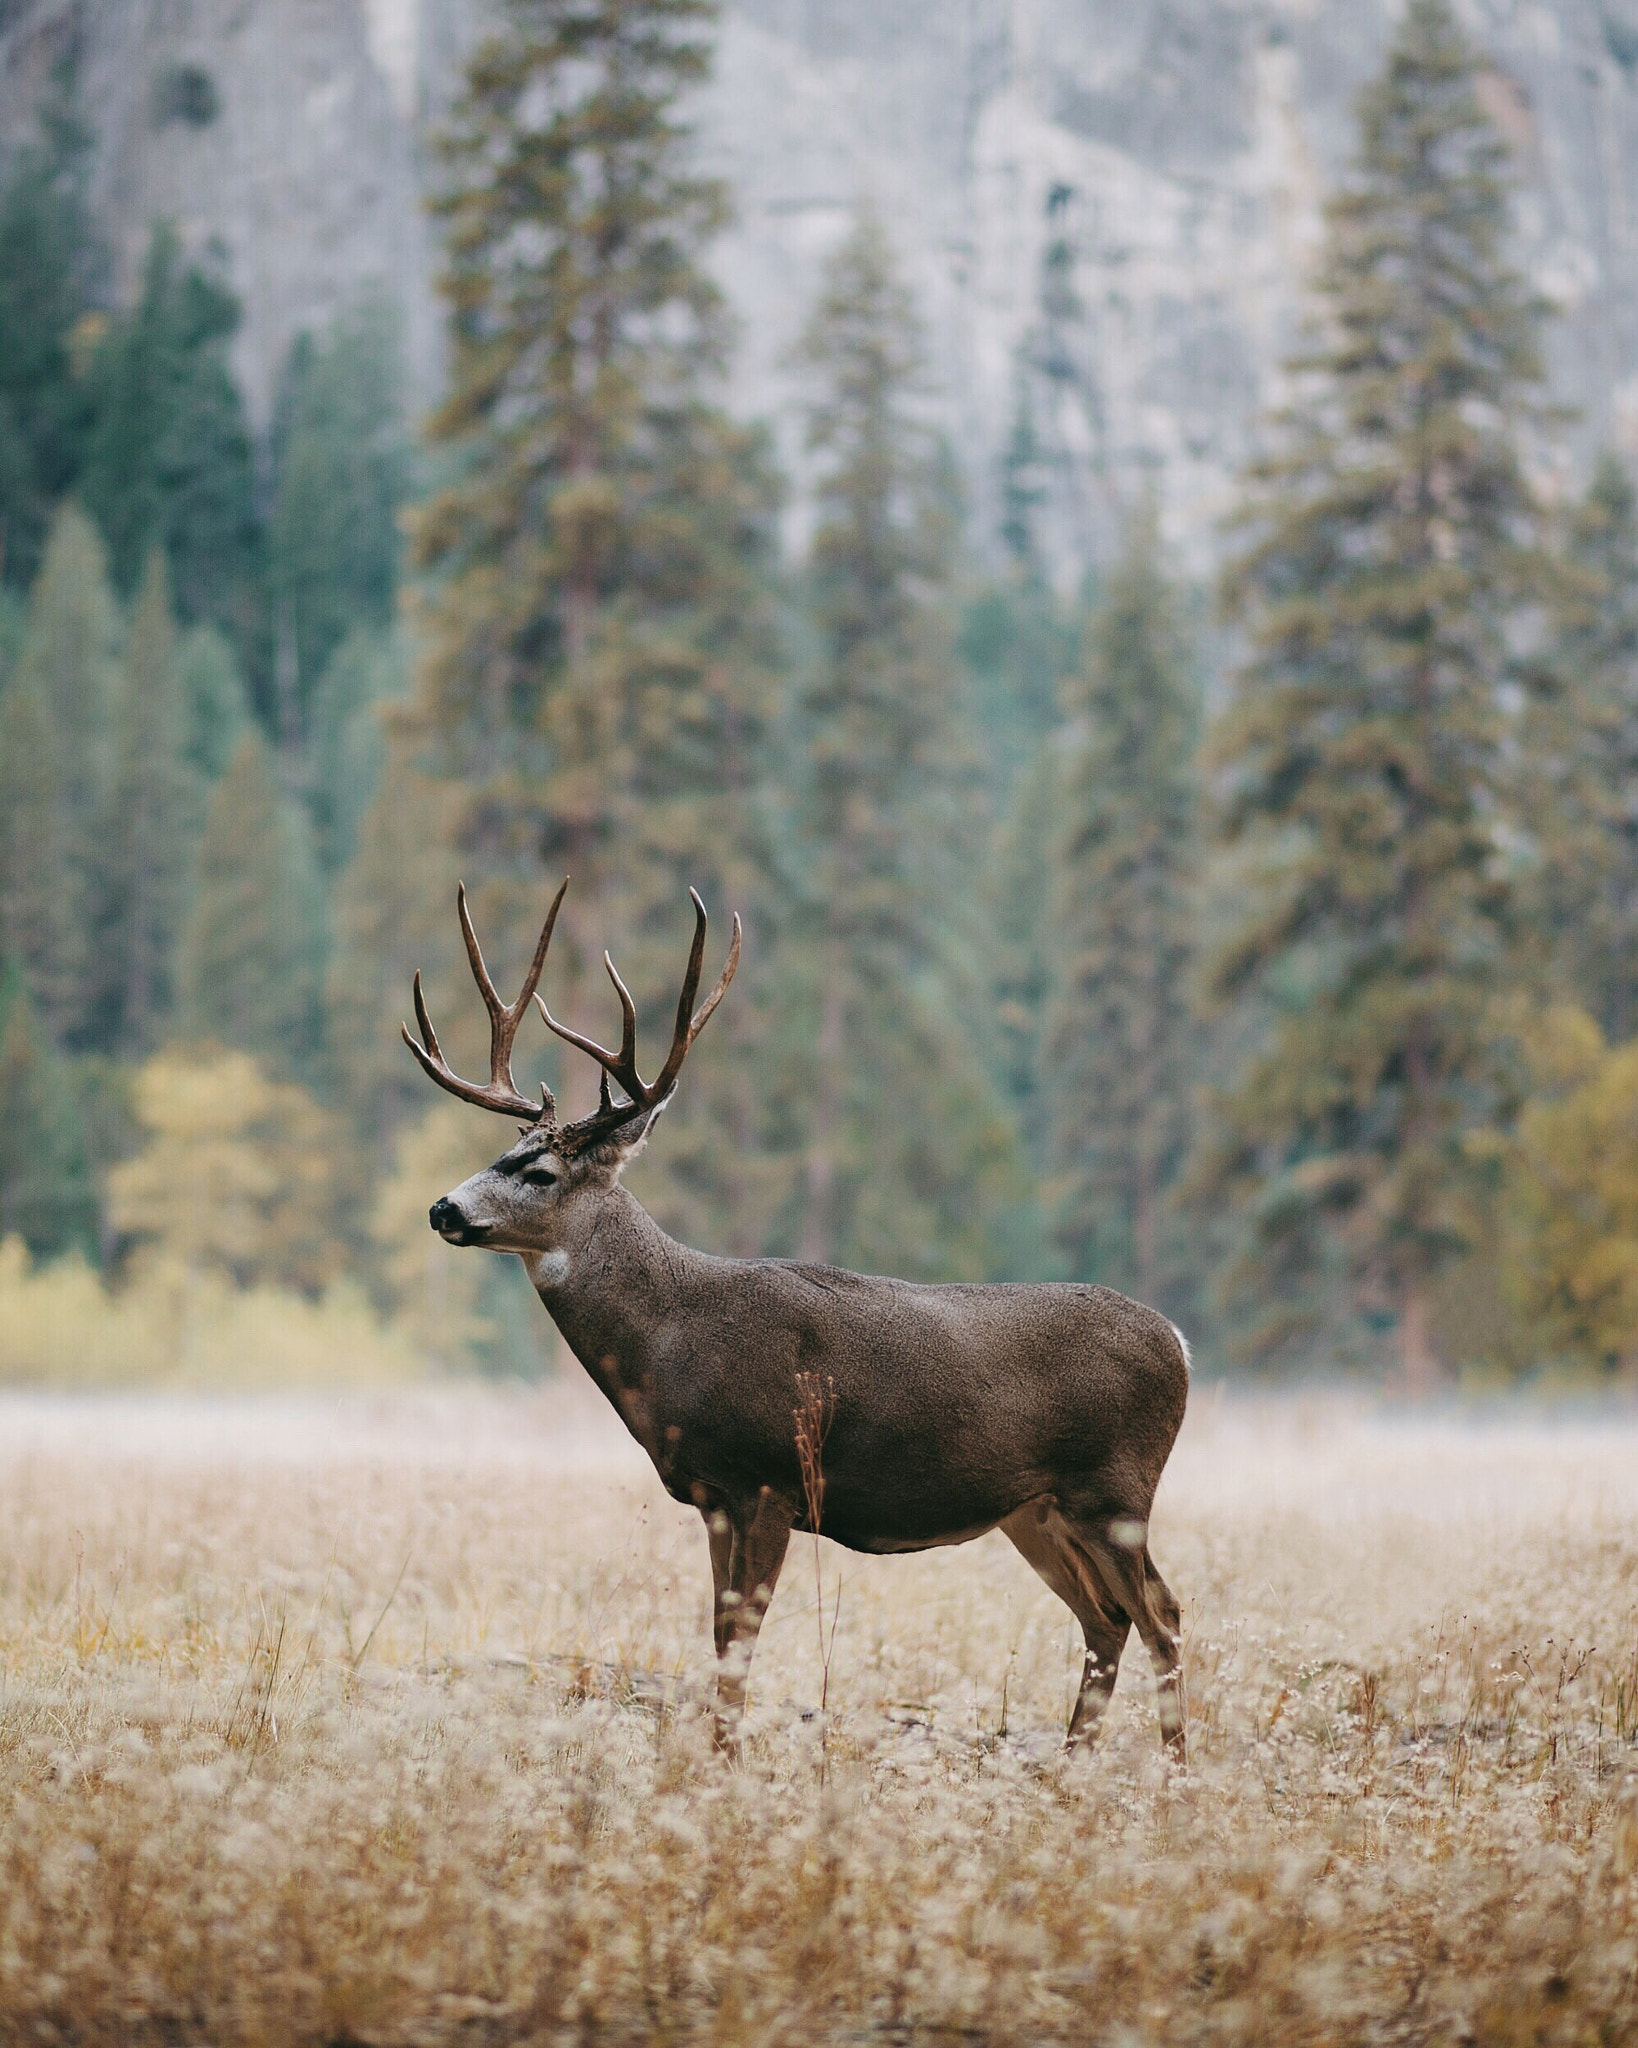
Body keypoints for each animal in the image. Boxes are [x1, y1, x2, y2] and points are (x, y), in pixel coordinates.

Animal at [403, 888, 1187, 1753]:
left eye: (539, 1171)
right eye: (503, 1154)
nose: (443, 1209)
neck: (670, 1341)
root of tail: (1181, 1346)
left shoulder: (770, 1478)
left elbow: (741, 1648)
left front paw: (723, 1766)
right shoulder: (713, 1497)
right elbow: (717, 1639)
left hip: (1116, 1488)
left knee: (1162, 1616)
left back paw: (1171, 1774)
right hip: (1038, 1511)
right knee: (1107, 1620)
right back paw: (1067, 1768)